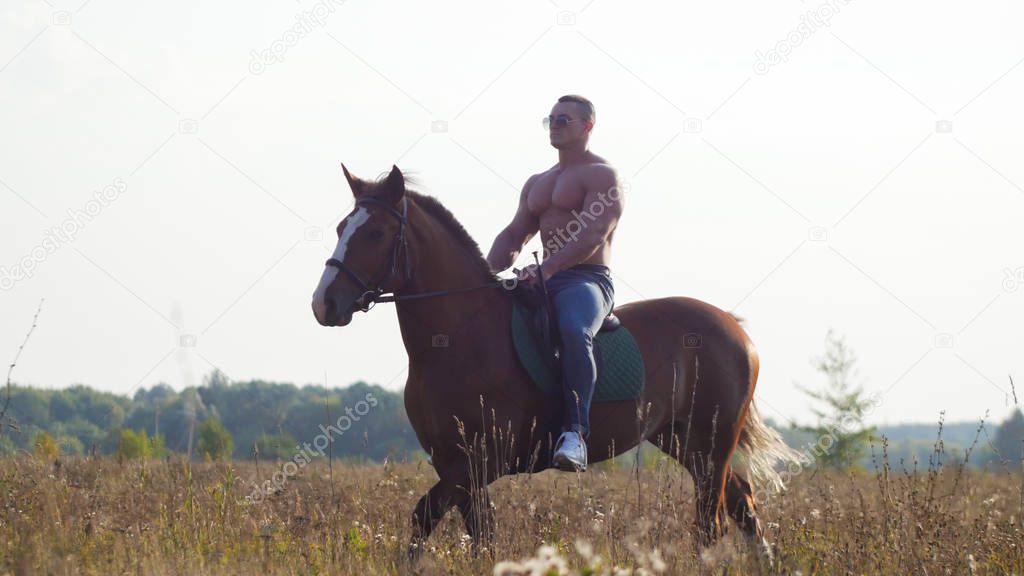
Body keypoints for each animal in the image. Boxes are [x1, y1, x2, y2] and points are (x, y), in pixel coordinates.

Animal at [311, 163, 798, 557]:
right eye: (340, 229)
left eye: (375, 233)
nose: (324, 304)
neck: (454, 338)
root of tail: (733, 327)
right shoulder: (454, 462)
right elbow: (475, 534)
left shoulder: (477, 462)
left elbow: (426, 516)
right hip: (684, 441)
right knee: (741, 504)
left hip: (711, 442)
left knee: (711, 521)